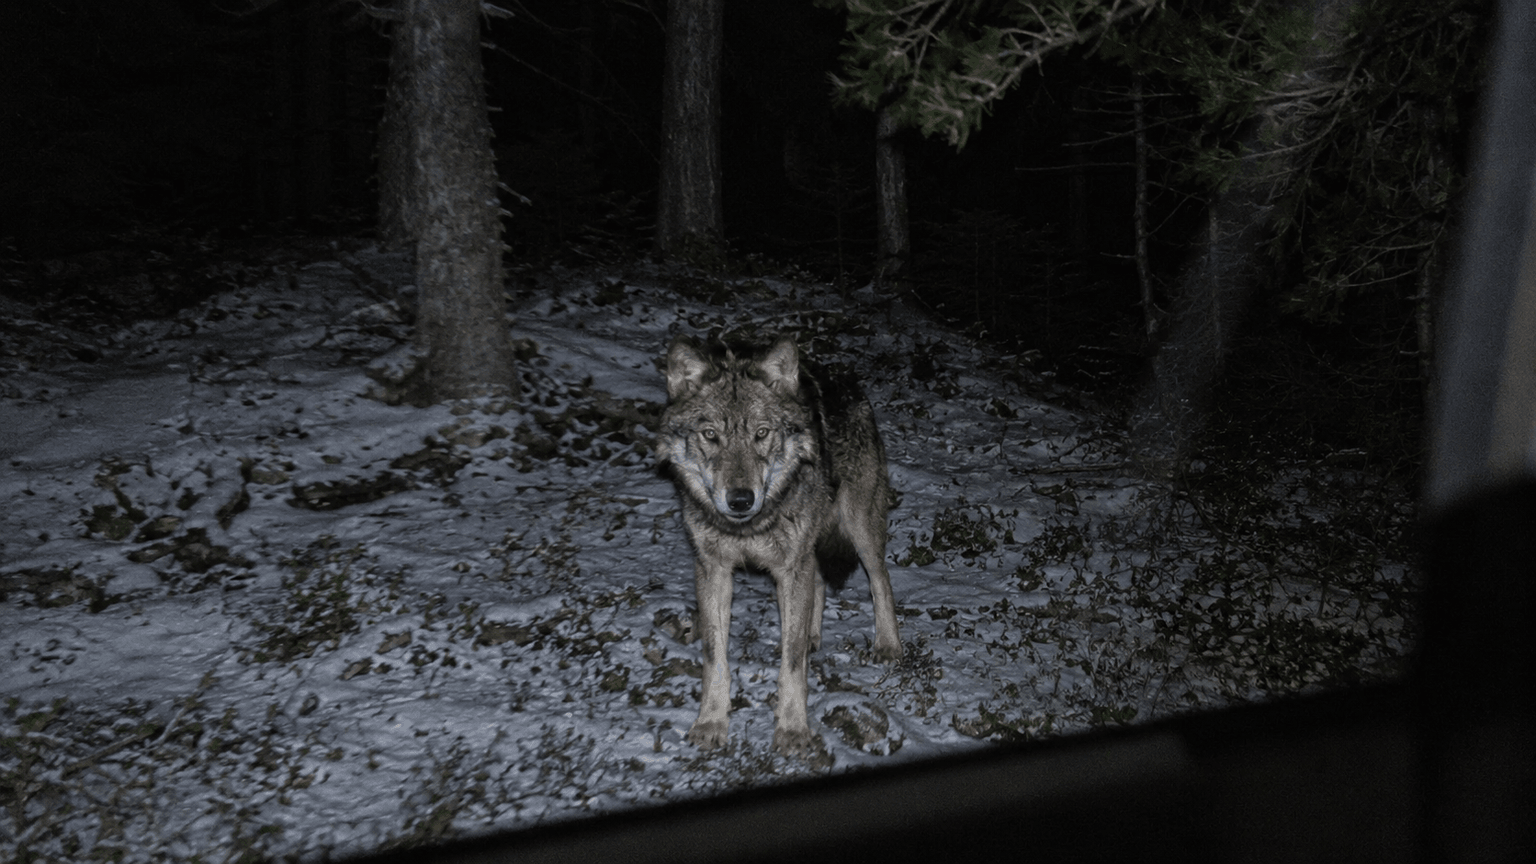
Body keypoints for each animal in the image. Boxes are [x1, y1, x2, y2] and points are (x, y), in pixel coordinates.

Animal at [656, 334, 903, 757]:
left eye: (761, 433)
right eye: (711, 436)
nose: (741, 500)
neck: (749, 527)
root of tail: (845, 380)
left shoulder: (790, 566)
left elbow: (791, 664)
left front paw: (792, 730)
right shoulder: (714, 569)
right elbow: (715, 657)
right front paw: (711, 723)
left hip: (860, 528)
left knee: (880, 580)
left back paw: (887, 644)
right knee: (818, 582)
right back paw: (814, 635)